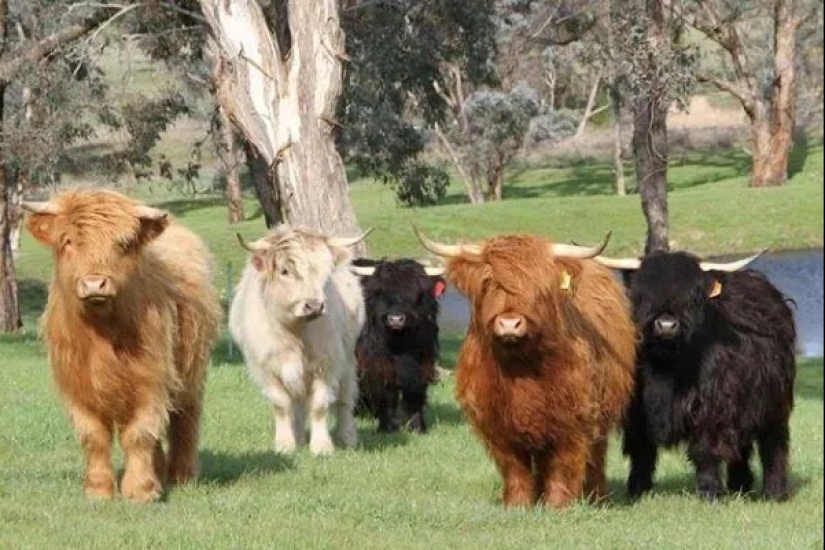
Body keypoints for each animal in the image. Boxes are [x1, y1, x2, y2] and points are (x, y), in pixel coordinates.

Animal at [23, 189, 222, 502]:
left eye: (123, 244)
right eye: (68, 241)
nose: (94, 284)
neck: (101, 333)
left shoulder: (151, 380)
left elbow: (139, 435)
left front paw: (140, 491)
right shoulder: (76, 386)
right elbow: (94, 437)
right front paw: (99, 490)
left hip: (192, 373)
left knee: (185, 421)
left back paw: (182, 476)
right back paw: (159, 471)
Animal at [228, 224, 371, 455]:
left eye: (325, 273)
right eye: (285, 271)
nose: (314, 305)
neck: (294, 330)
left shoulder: (326, 364)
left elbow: (320, 405)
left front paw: (321, 446)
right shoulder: (266, 368)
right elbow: (281, 405)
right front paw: (285, 445)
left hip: (348, 361)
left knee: (344, 399)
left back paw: (347, 437)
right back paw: (298, 437)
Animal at [349, 258, 447, 433]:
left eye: (417, 293)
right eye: (381, 292)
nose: (395, 319)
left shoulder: (423, 362)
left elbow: (415, 394)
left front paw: (417, 427)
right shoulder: (379, 363)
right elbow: (388, 394)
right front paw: (388, 427)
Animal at [414, 227, 637, 509]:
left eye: (537, 287)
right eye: (489, 283)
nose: (510, 324)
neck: (520, 368)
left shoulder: (572, 417)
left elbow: (563, 463)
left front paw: (557, 506)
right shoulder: (495, 421)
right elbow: (514, 467)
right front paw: (518, 505)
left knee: (596, 454)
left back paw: (598, 498)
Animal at [592, 250, 797, 501]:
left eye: (692, 297)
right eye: (642, 294)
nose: (666, 325)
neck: (664, 368)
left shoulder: (711, 406)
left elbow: (705, 449)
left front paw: (710, 493)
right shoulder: (637, 412)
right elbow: (641, 451)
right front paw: (637, 491)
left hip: (774, 403)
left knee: (773, 445)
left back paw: (774, 492)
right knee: (742, 446)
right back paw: (740, 486)